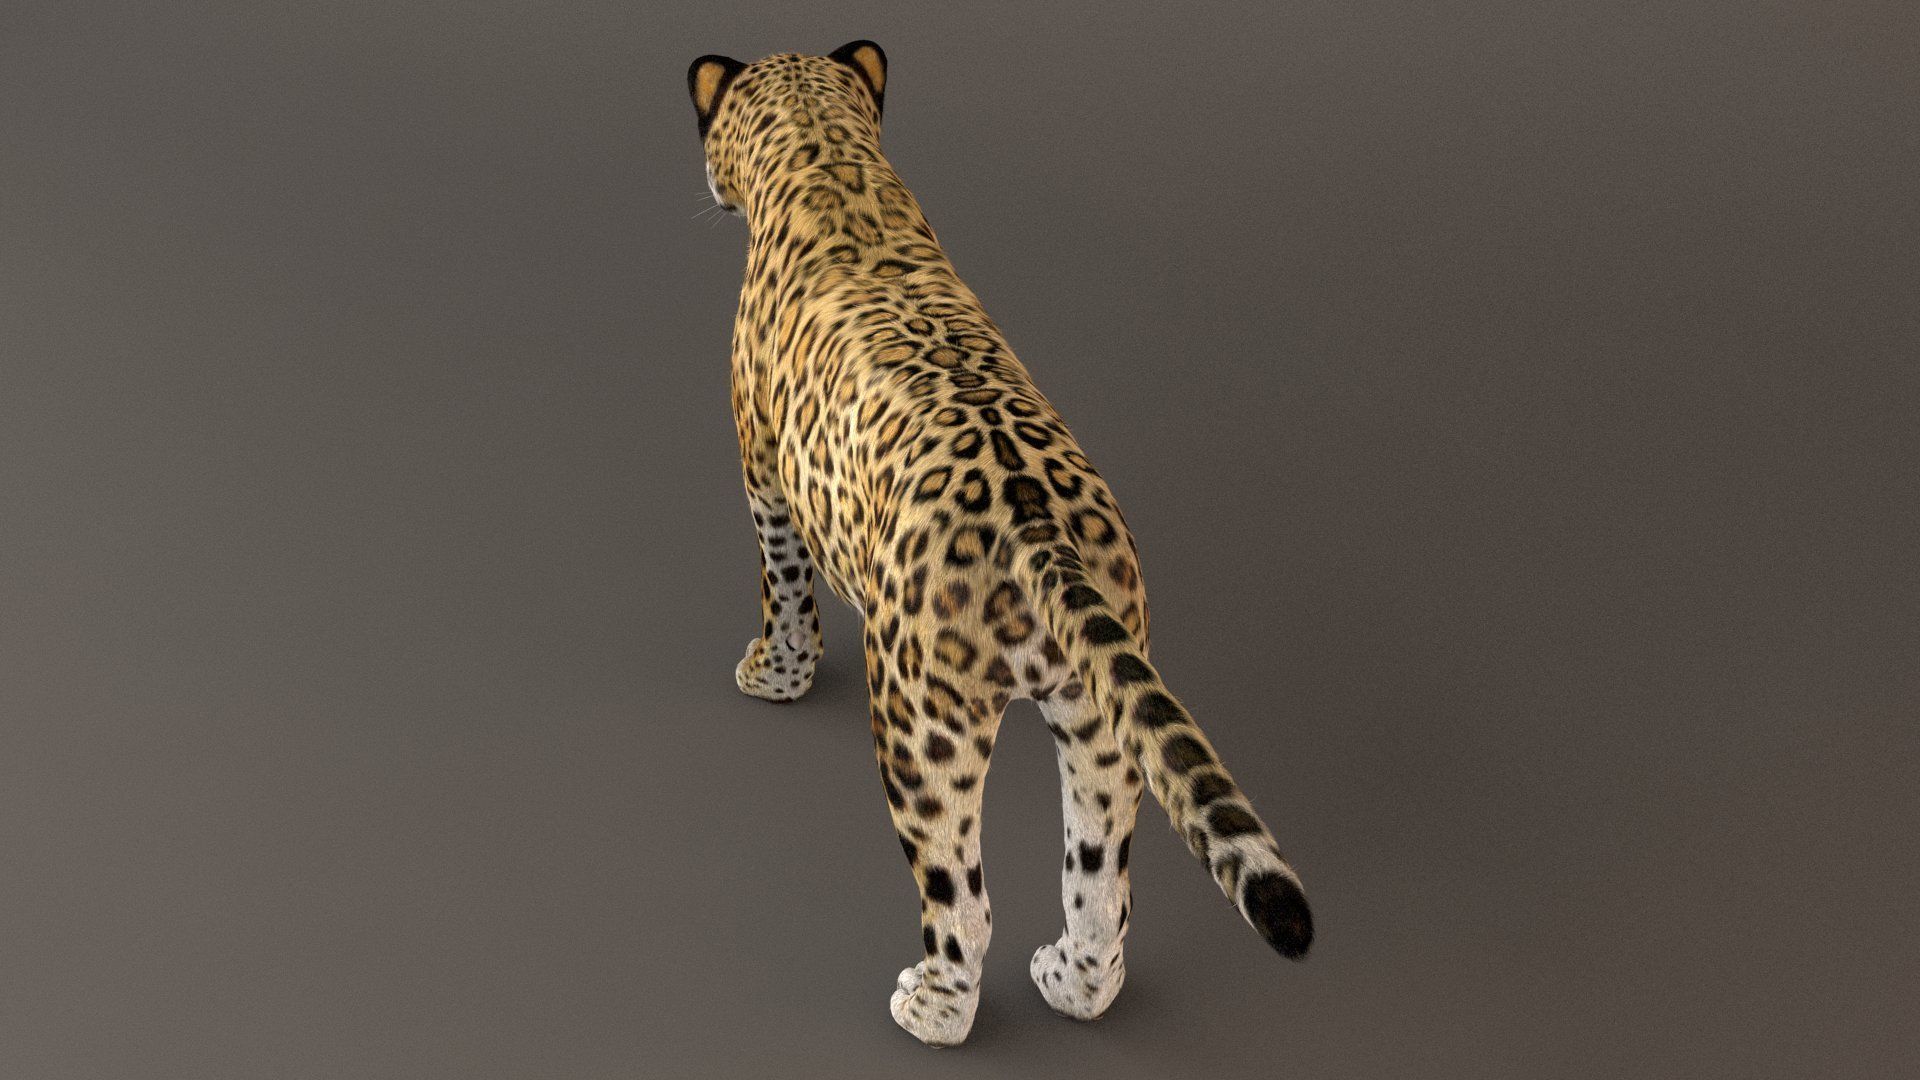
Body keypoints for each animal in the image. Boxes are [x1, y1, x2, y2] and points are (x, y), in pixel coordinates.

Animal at [686, 40, 1313, 1047]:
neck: (832, 158)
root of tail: (1039, 531)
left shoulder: (761, 467)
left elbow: (782, 585)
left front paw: (773, 675)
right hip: (1103, 721)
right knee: (1101, 886)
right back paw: (1070, 981)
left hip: (920, 723)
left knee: (963, 900)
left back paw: (931, 1009)